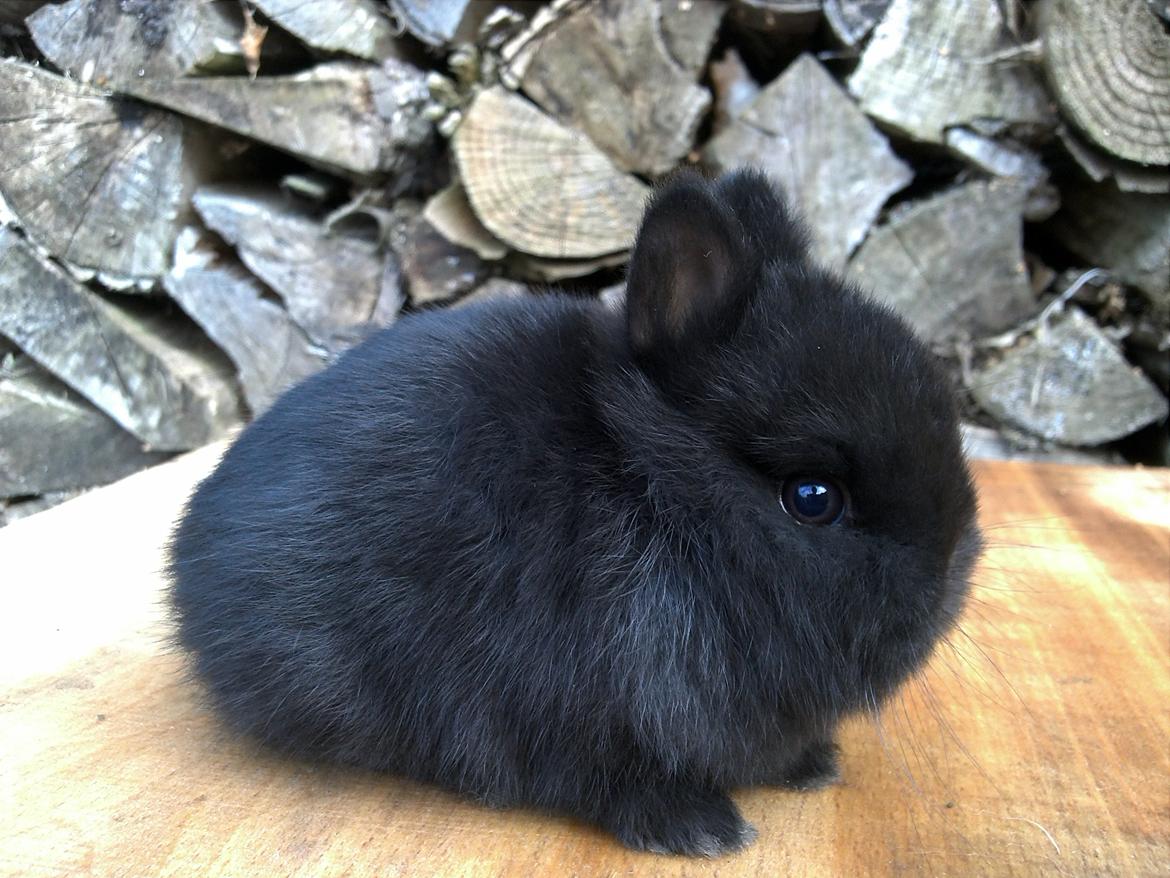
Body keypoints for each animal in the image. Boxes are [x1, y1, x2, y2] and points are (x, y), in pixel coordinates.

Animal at [169, 168, 982, 856]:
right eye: (812, 499)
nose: (949, 573)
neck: (657, 500)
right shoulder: (565, 703)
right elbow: (606, 778)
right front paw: (703, 830)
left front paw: (812, 765)